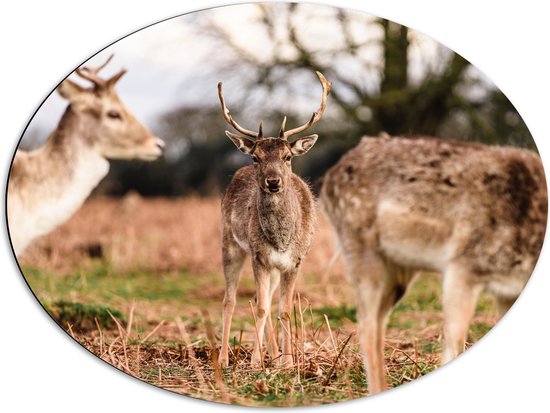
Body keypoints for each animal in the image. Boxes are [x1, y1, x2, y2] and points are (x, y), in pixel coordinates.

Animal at [219, 71, 332, 366]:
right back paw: (224, 358)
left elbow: (284, 310)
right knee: (231, 300)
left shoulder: (295, 261)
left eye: (288, 156)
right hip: (230, 244)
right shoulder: (259, 256)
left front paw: (288, 362)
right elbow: (260, 308)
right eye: (256, 157)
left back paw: (273, 354)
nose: (273, 181)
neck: (281, 240)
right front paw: (254, 363)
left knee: (268, 302)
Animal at [322, 134, 548, 394]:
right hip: (361, 249)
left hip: (398, 270)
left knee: (377, 321)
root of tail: (327, 179)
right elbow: (453, 343)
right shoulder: (463, 266)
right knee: (366, 325)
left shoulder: (507, 291)